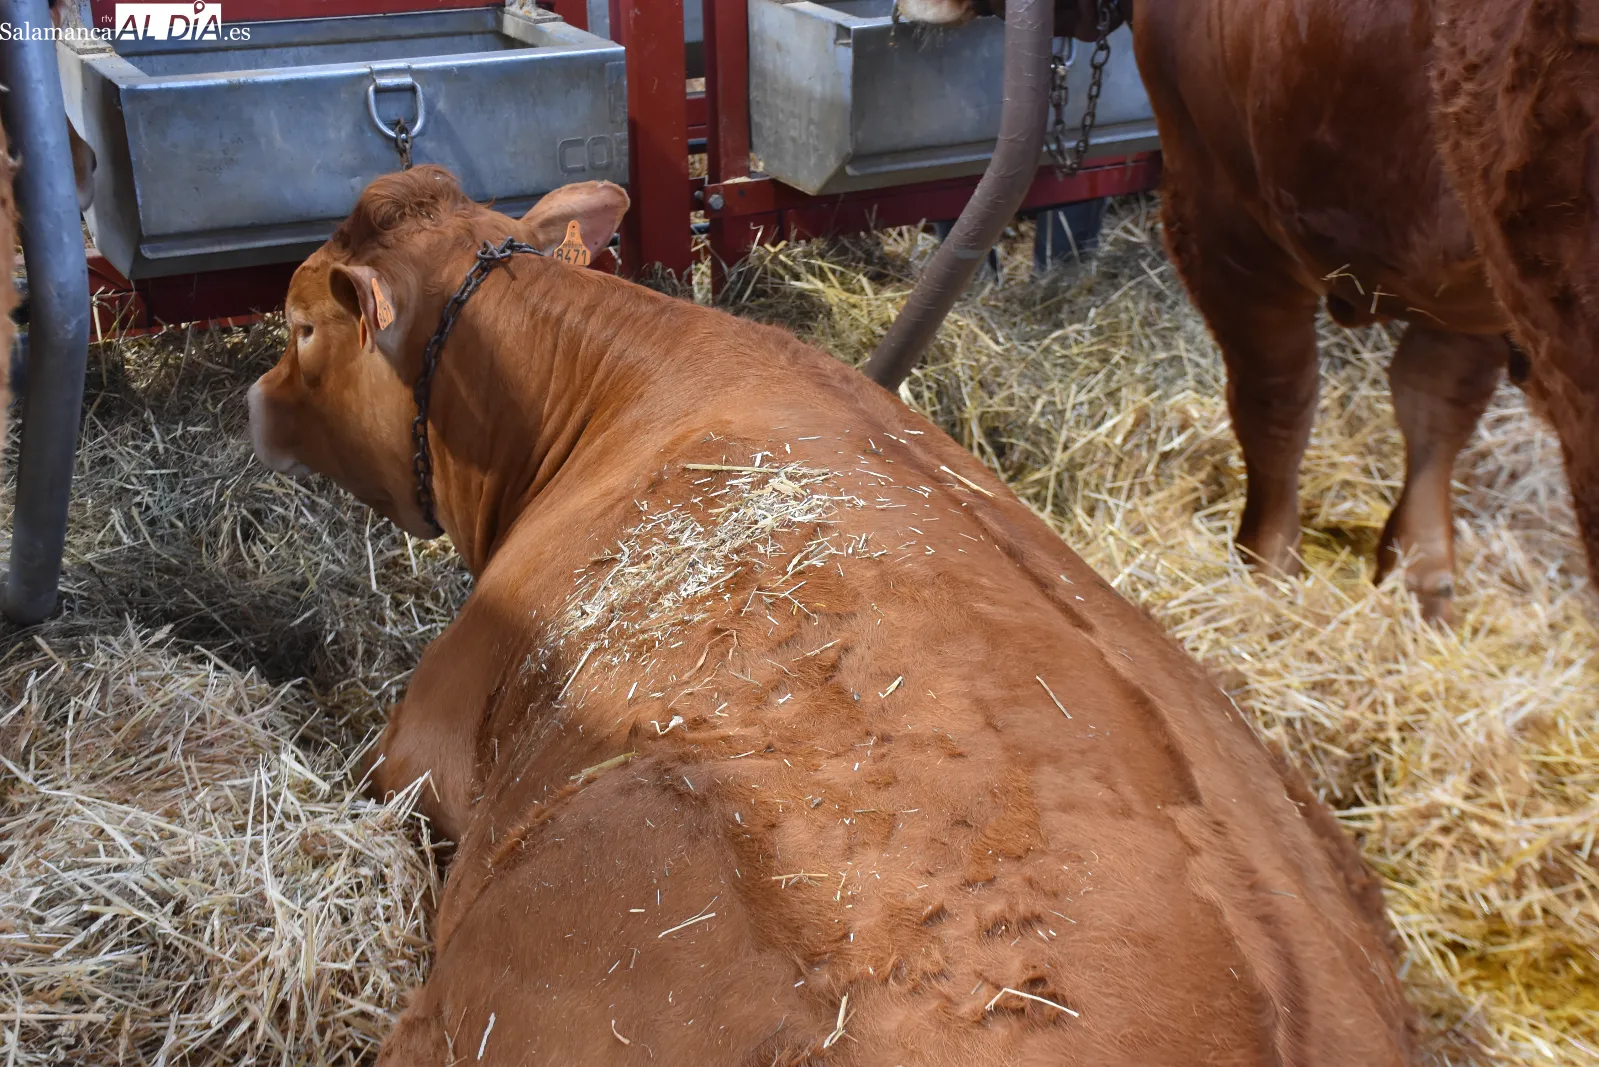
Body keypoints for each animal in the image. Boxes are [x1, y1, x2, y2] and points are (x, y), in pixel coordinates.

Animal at [895, 0, 1592, 623]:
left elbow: (1275, 402)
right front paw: (1419, 574)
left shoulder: (1221, 216)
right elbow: (1437, 405)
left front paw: (1267, 560)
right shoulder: (1472, 280)